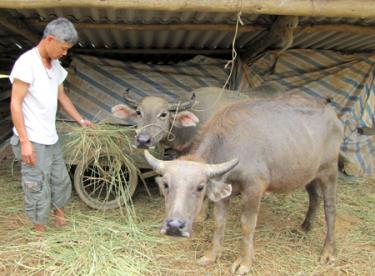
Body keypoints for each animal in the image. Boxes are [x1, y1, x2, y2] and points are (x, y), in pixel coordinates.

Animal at [145, 94, 346, 274]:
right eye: (166, 185)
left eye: (200, 187)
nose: (174, 226)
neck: (230, 145)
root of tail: (332, 113)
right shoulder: (223, 191)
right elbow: (219, 222)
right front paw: (211, 255)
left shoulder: (254, 188)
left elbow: (247, 225)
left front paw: (245, 262)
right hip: (309, 173)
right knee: (314, 196)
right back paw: (304, 227)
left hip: (329, 171)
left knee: (330, 208)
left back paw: (329, 252)